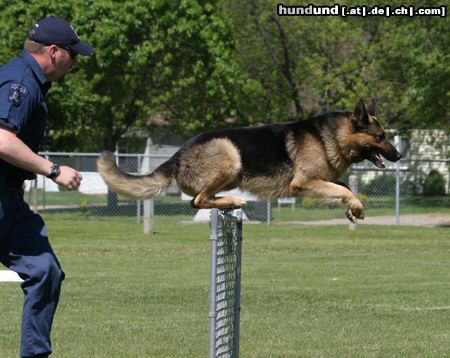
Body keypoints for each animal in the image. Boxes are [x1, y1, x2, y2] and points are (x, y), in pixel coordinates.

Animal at [98, 100, 400, 221]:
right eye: (381, 136)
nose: (398, 155)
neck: (332, 137)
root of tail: (177, 155)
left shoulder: (322, 180)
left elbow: (344, 187)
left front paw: (352, 209)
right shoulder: (304, 182)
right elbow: (342, 190)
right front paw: (356, 207)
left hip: (231, 172)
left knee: (203, 199)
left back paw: (229, 202)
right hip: (230, 155)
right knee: (199, 200)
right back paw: (233, 201)